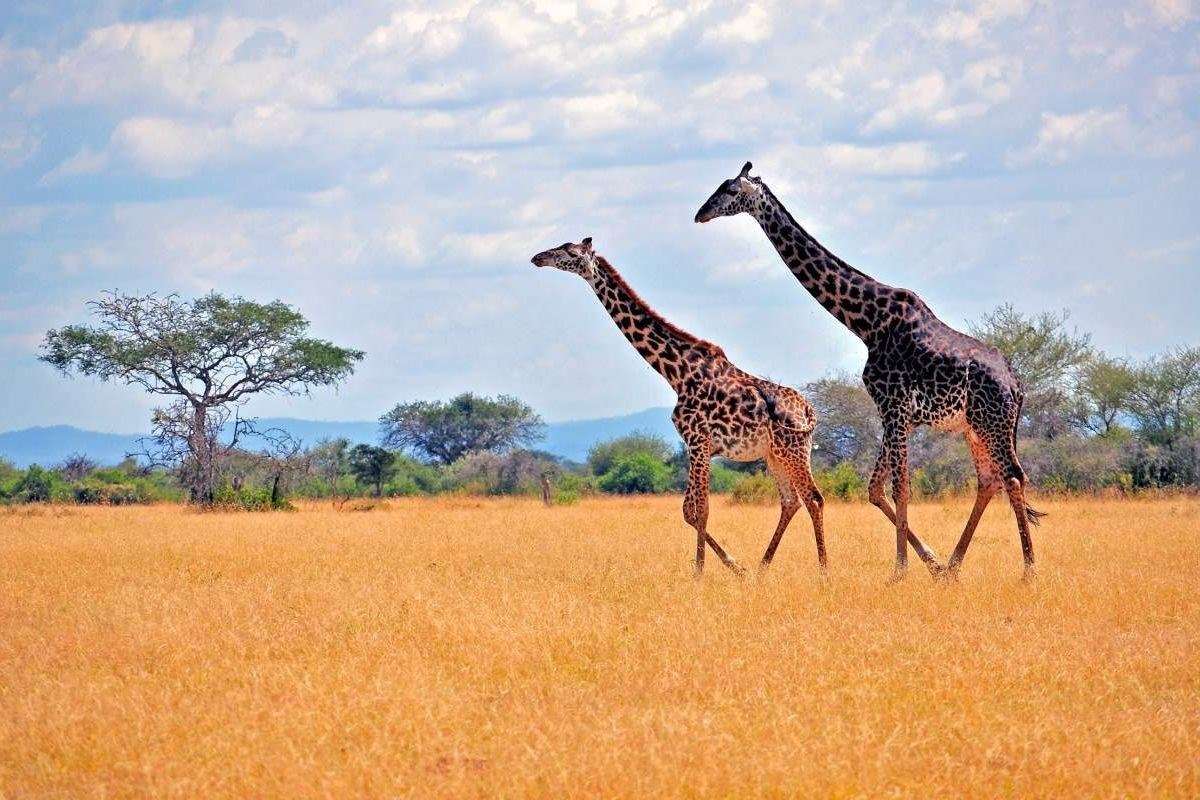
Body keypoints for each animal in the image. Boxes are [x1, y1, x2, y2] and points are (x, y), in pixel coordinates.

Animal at [530, 236, 830, 575]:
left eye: (568, 251)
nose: (538, 257)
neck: (676, 373)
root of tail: (808, 411)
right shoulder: (696, 446)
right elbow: (688, 510)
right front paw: (734, 567)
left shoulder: (698, 441)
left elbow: (701, 509)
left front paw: (701, 572)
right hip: (774, 455)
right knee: (791, 501)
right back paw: (760, 569)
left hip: (794, 450)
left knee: (814, 498)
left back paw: (823, 572)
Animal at [696, 163, 1041, 582]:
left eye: (730, 190)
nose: (700, 214)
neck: (868, 324)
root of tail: (1017, 386)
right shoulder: (898, 414)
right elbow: (876, 489)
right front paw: (930, 562)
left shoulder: (893, 406)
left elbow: (900, 487)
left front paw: (900, 571)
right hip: (974, 427)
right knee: (990, 480)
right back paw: (953, 566)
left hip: (991, 422)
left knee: (1012, 476)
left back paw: (1028, 570)